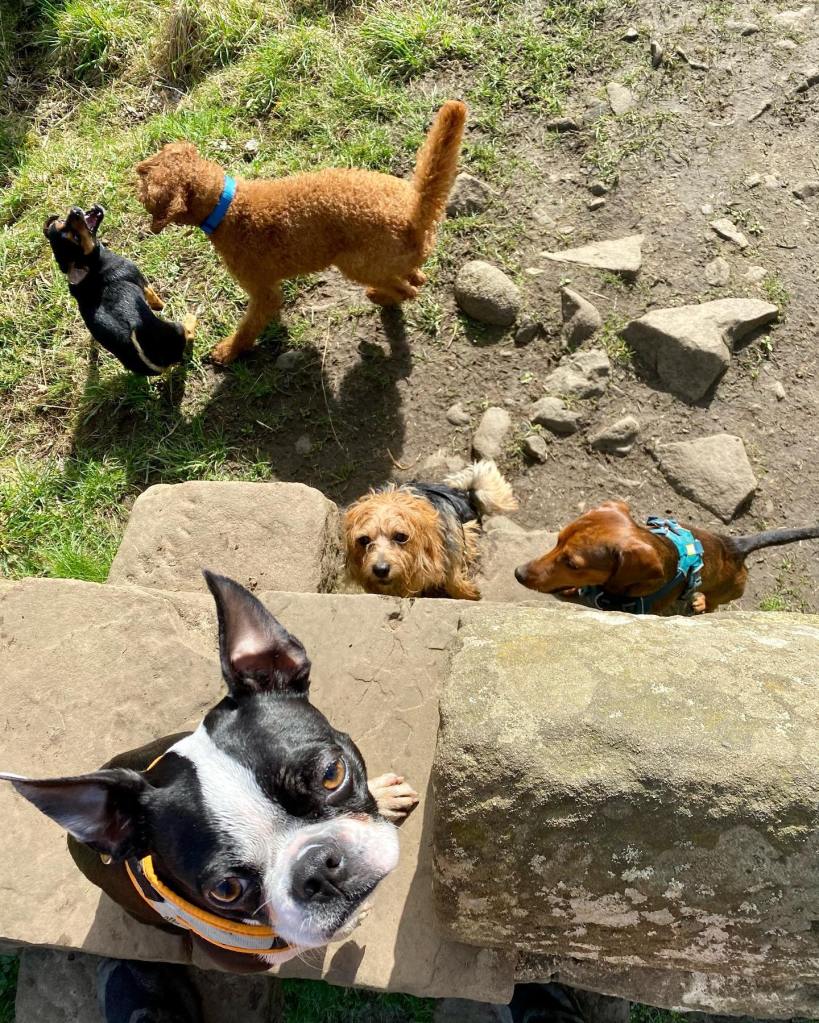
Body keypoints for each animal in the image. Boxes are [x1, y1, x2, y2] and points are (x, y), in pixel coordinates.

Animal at [44, 205, 196, 376]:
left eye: (61, 224)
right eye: (76, 238)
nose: (74, 211)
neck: (93, 265)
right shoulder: (141, 280)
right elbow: (153, 296)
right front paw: (161, 306)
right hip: (175, 328)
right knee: (188, 332)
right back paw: (190, 319)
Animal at [135, 100, 467, 365]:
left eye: (148, 189)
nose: (135, 173)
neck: (226, 206)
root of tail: (415, 211)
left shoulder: (262, 289)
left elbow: (249, 326)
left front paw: (227, 351)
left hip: (355, 263)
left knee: (407, 292)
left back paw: (380, 296)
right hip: (386, 259)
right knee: (414, 276)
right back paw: (406, 278)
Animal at [344, 460, 518, 600]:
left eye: (400, 536)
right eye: (364, 540)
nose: (380, 570)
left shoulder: (455, 544)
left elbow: (453, 577)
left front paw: (468, 594)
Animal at [514, 499, 819, 614]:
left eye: (573, 564)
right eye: (557, 539)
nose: (518, 573)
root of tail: (736, 544)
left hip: (728, 591)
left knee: (713, 604)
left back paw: (701, 603)